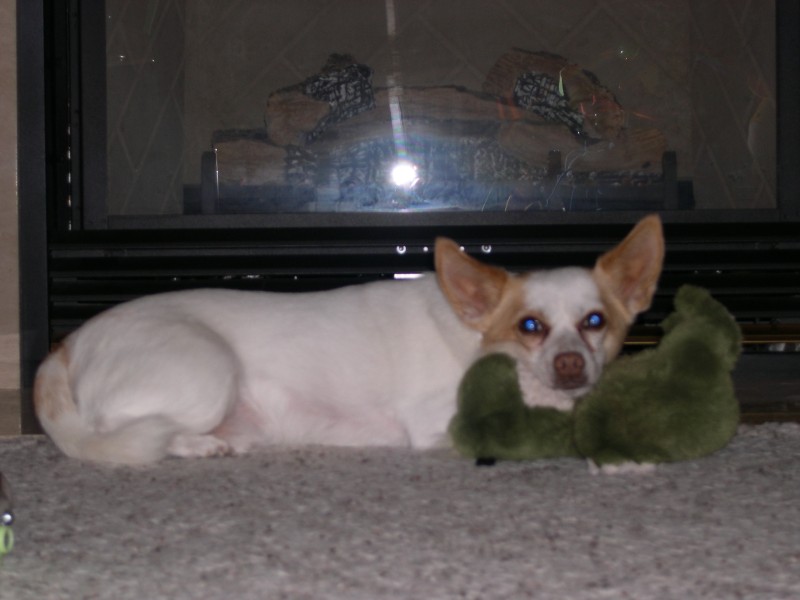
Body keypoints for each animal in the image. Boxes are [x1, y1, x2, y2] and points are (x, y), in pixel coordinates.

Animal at [34, 216, 664, 464]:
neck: (476, 339)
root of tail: (68, 346)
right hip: (207, 374)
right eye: (529, 326)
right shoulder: (441, 424)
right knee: (125, 433)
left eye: (596, 322)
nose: (570, 366)